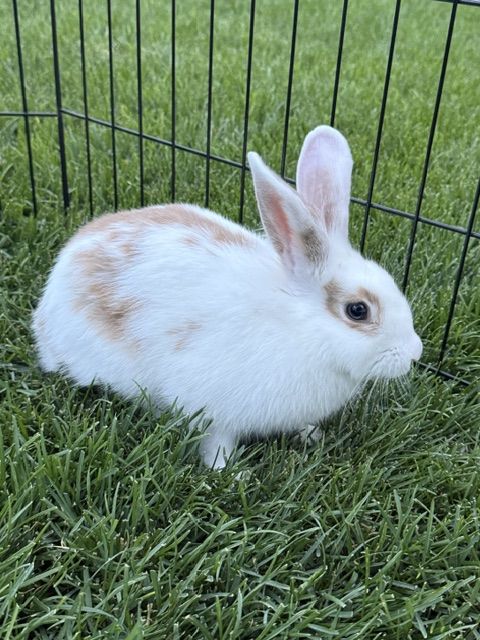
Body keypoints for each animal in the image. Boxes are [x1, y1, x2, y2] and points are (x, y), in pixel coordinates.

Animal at [32, 125, 422, 468]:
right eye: (357, 310)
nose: (414, 353)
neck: (298, 329)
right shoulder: (211, 412)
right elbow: (215, 443)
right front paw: (229, 473)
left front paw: (312, 435)